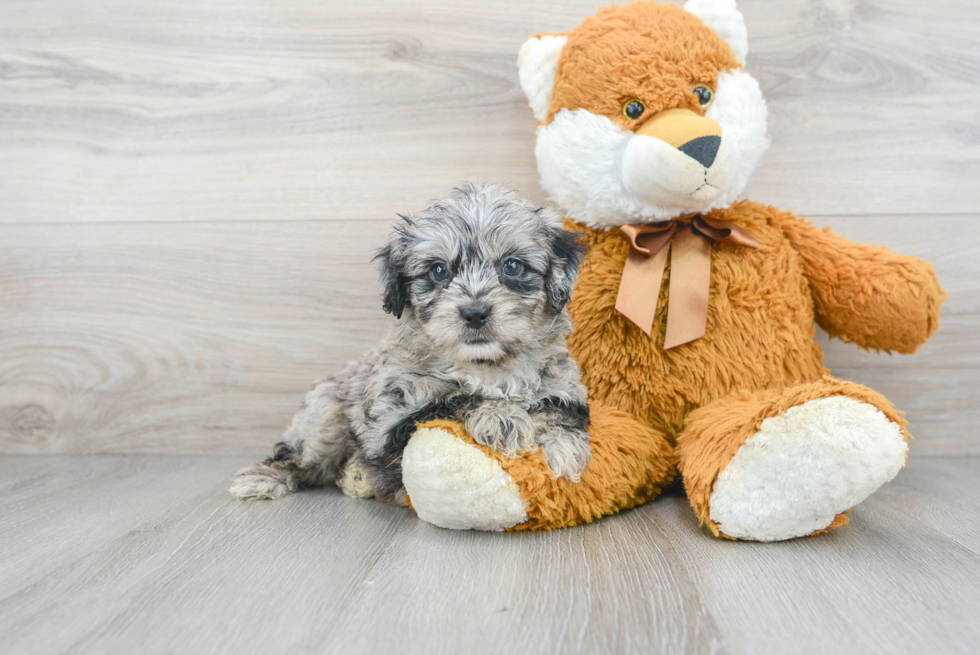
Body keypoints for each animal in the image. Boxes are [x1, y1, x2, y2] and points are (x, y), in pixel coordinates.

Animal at [232, 183, 588, 508]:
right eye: (439, 270)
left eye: (512, 266)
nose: (475, 313)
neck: (485, 367)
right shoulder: (391, 423)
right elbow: (453, 398)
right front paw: (501, 417)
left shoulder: (564, 387)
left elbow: (557, 410)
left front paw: (563, 447)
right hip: (325, 416)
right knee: (299, 456)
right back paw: (266, 478)